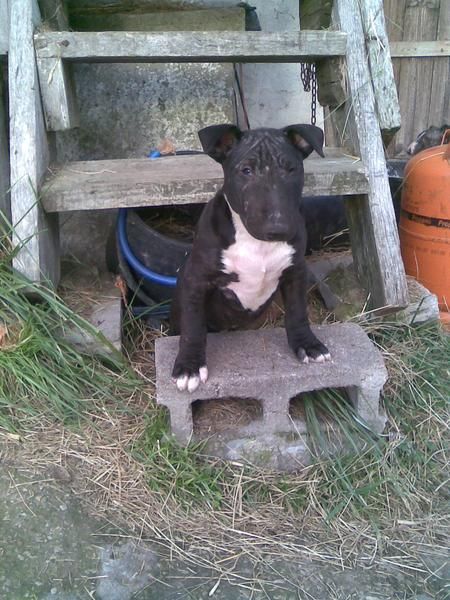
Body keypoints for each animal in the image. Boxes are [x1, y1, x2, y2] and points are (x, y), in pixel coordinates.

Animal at [169, 124, 330, 392]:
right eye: (246, 170)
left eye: (291, 169)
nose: (278, 227)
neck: (258, 244)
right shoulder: (196, 279)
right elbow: (192, 326)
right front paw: (189, 367)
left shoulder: (295, 272)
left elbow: (298, 311)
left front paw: (308, 345)